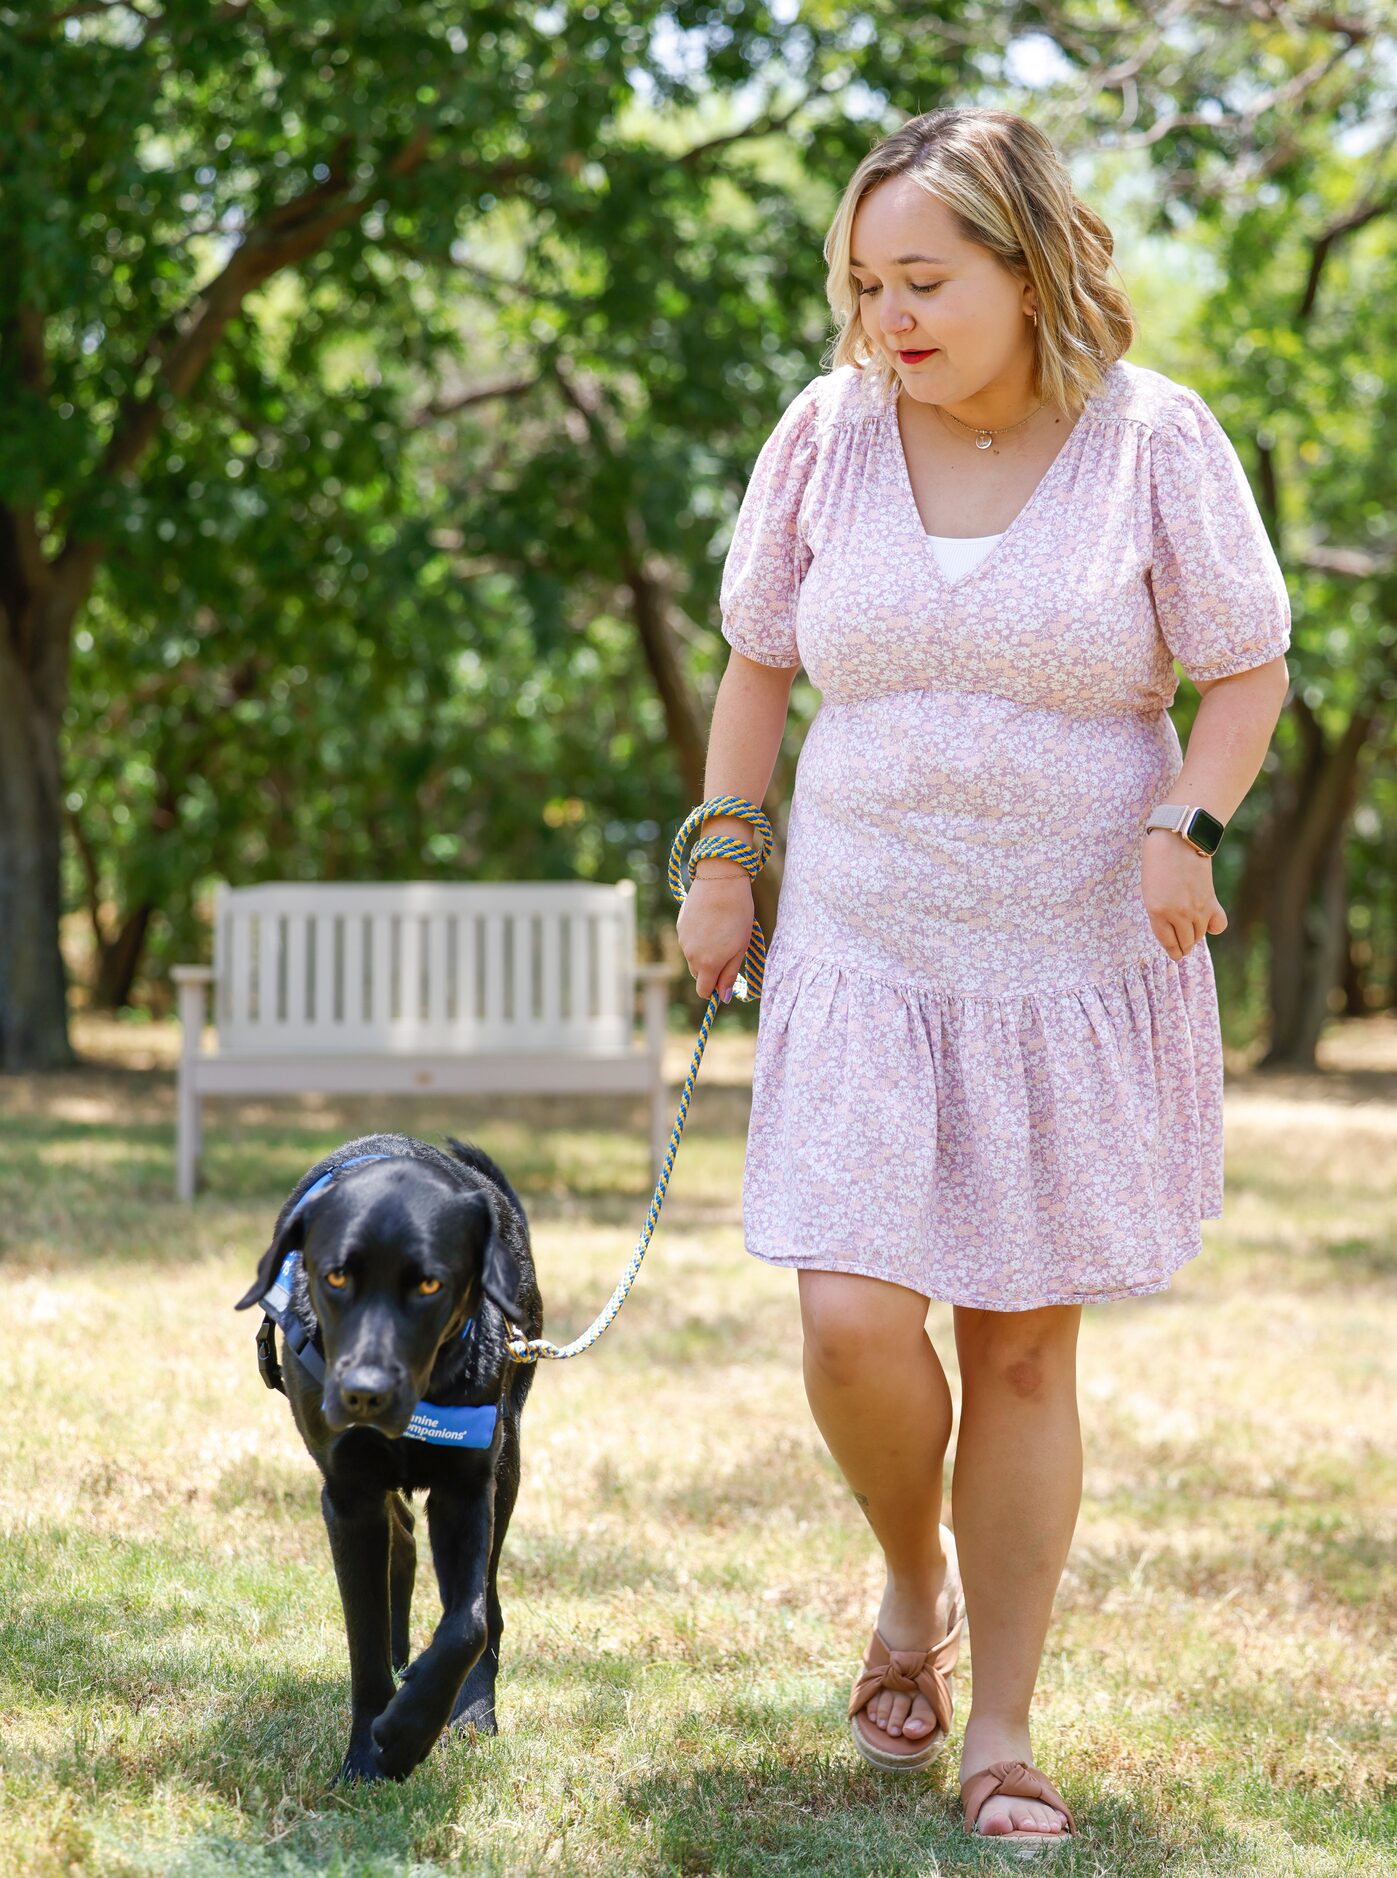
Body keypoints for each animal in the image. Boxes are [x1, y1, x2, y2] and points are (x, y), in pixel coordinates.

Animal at [234, 1134, 540, 1780]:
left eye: (430, 1286)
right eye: (336, 1276)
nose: (364, 1393)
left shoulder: (466, 1488)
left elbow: (468, 1623)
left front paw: (409, 1730)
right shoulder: (349, 1498)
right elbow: (365, 1647)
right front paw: (367, 1761)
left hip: (508, 1465)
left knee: (487, 1603)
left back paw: (472, 1709)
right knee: (400, 1538)